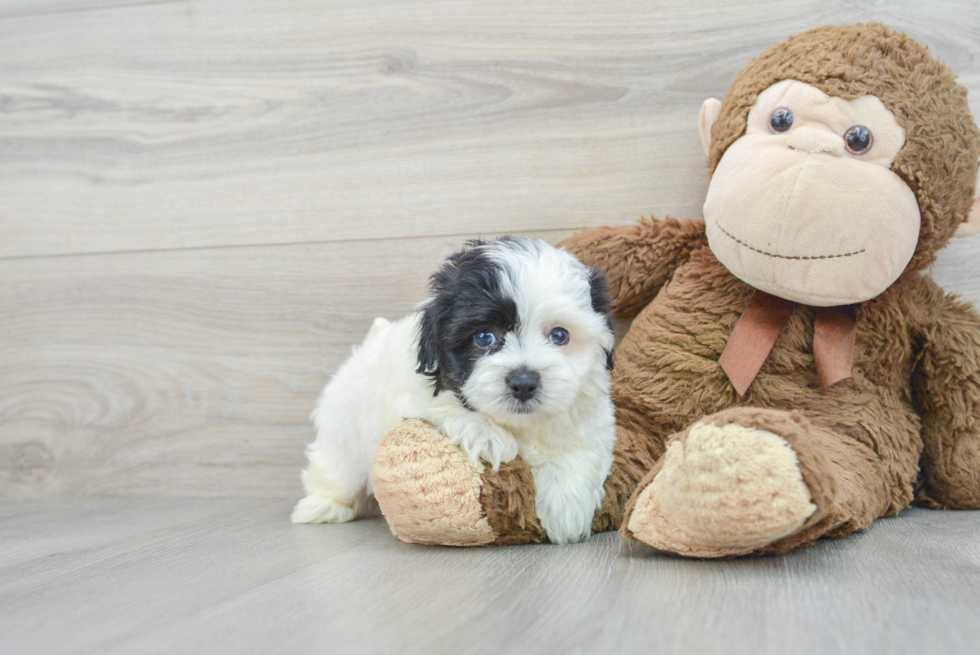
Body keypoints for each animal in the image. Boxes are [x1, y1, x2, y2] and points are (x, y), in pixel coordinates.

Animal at [288, 236, 616, 544]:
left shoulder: (591, 415)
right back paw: (322, 506)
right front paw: (488, 436)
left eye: (560, 335)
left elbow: (581, 449)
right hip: (343, 431)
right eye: (484, 337)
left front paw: (566, 509)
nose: (523, 382)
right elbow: (445, 406)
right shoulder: (410, 395)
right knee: (335, 471)